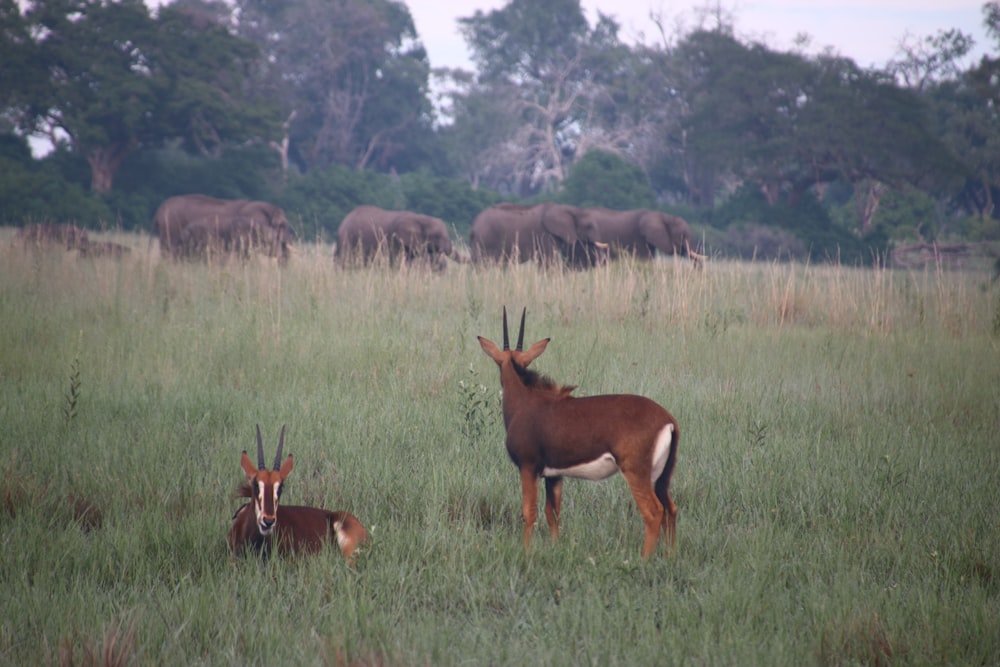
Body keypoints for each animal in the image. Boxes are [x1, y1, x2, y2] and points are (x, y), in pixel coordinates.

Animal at [478, 308, 680, 560]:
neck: (524, 400)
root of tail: (668, 421)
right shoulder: (554, 475)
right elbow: (552, 513)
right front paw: (554, 549)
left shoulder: (528, 467)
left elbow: (529, 512)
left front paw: (526, 552)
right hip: (661, 478)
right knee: (671, 509)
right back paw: (671, 557)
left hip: (636, 472)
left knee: (653, 512)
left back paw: (644, 560)